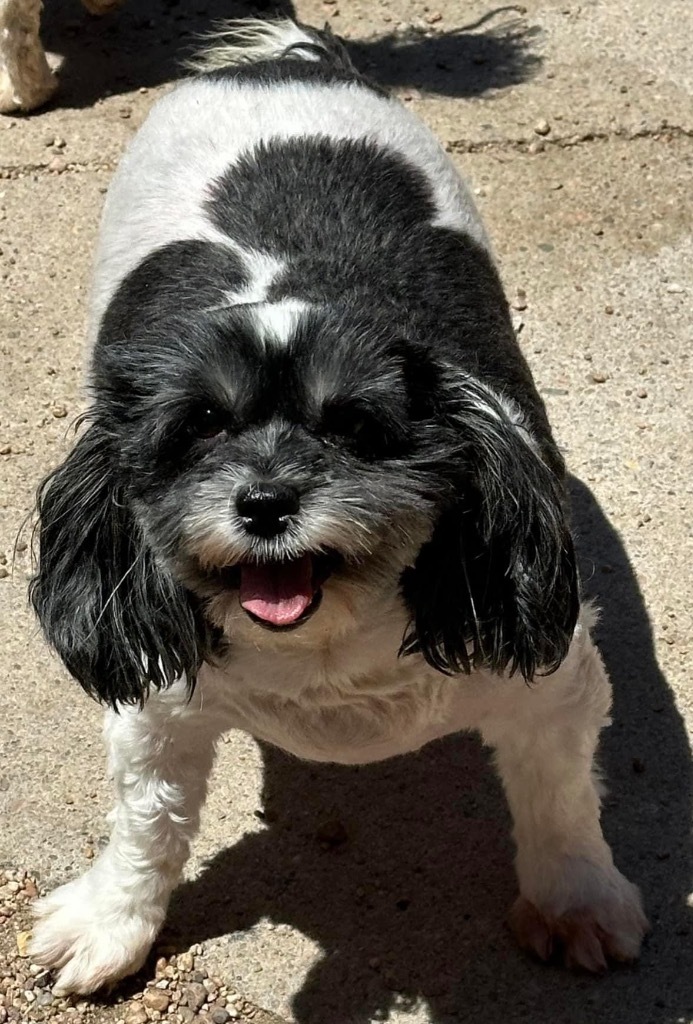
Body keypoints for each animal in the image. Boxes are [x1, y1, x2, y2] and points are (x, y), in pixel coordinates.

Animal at [25, 16, 642, 991]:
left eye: (354, 424)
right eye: (200, 426)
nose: (265, 499)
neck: (326, 653)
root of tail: (285, 59)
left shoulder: (548, 680)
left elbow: (559, 797)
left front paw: (574, 900)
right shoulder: (159, 705)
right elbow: (146, 824)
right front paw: (110, 924)